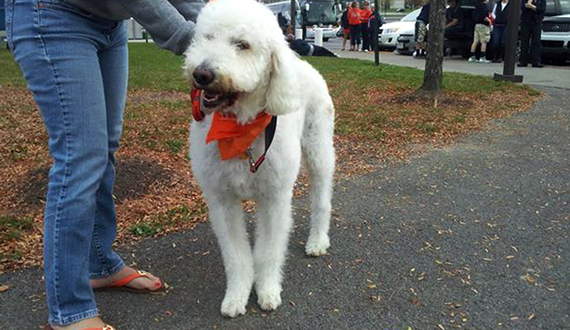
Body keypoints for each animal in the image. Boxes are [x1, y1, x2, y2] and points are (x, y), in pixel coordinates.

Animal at [183, 0, 332, 318]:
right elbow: (236, 256)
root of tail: (302, 64)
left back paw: (317, 241)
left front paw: (267, 290)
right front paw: (237, 296)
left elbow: (268, 252)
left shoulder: (274, 199)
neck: (240, 128)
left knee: (322, 200)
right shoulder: (222, 201)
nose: (202, 74)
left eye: (243, 45)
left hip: (319, 151)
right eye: (207, 38)